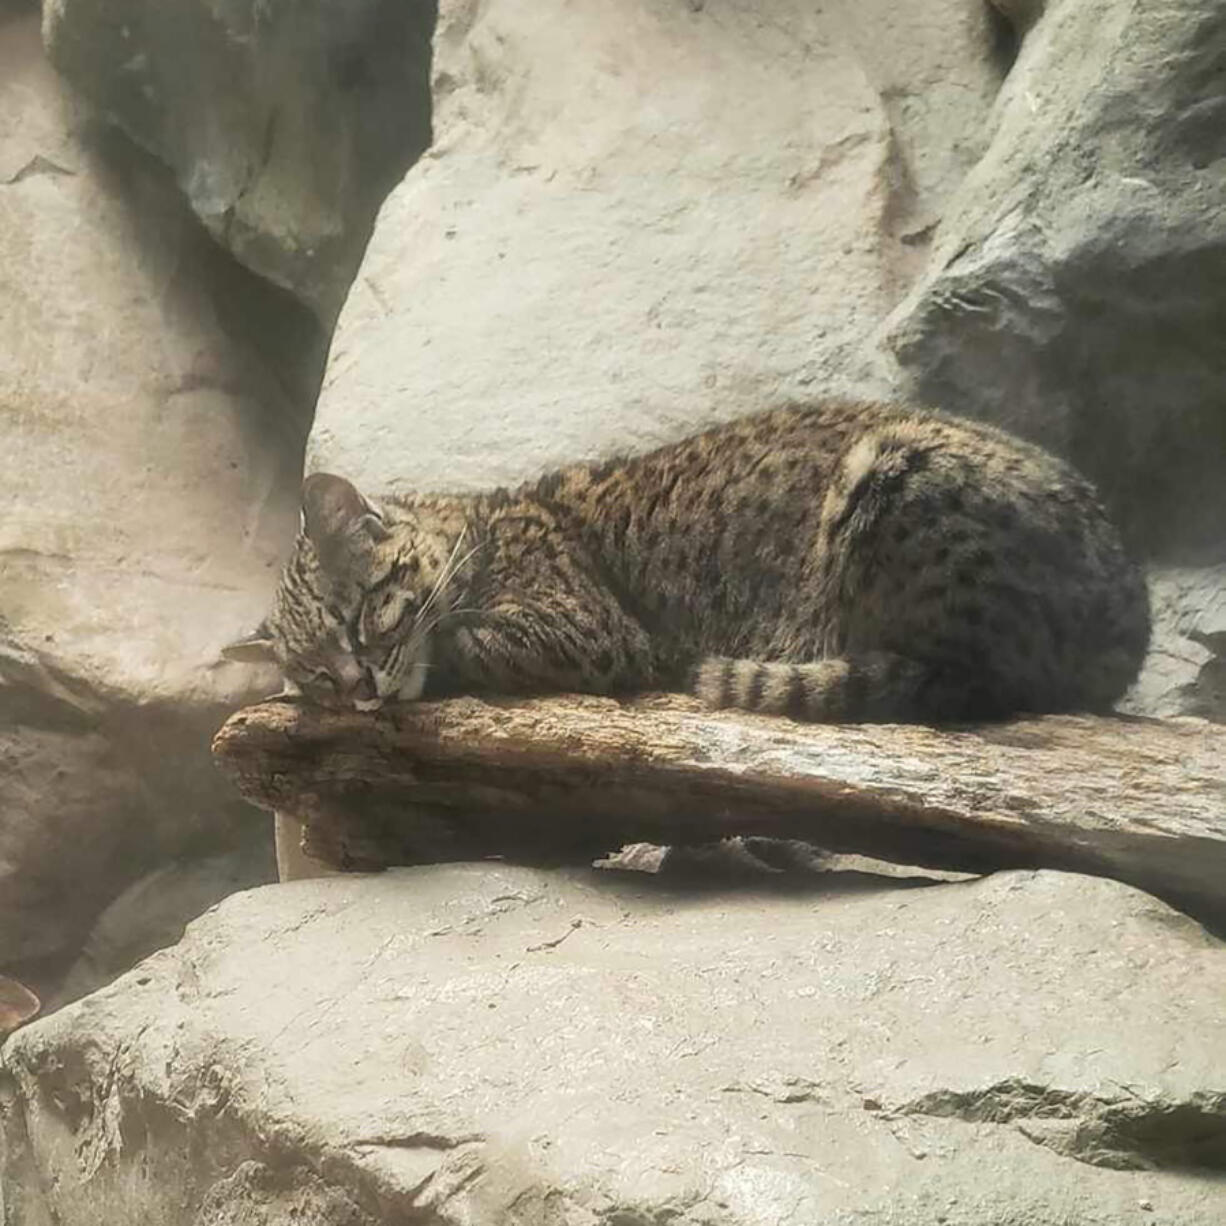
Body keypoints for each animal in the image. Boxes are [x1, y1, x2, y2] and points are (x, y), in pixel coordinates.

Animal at [225, 402, 1152, 720]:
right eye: (315, 673)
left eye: (360, 618)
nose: (356, 690)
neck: (475, 525)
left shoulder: (587, 629)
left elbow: (463, 640)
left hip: (895, 469)